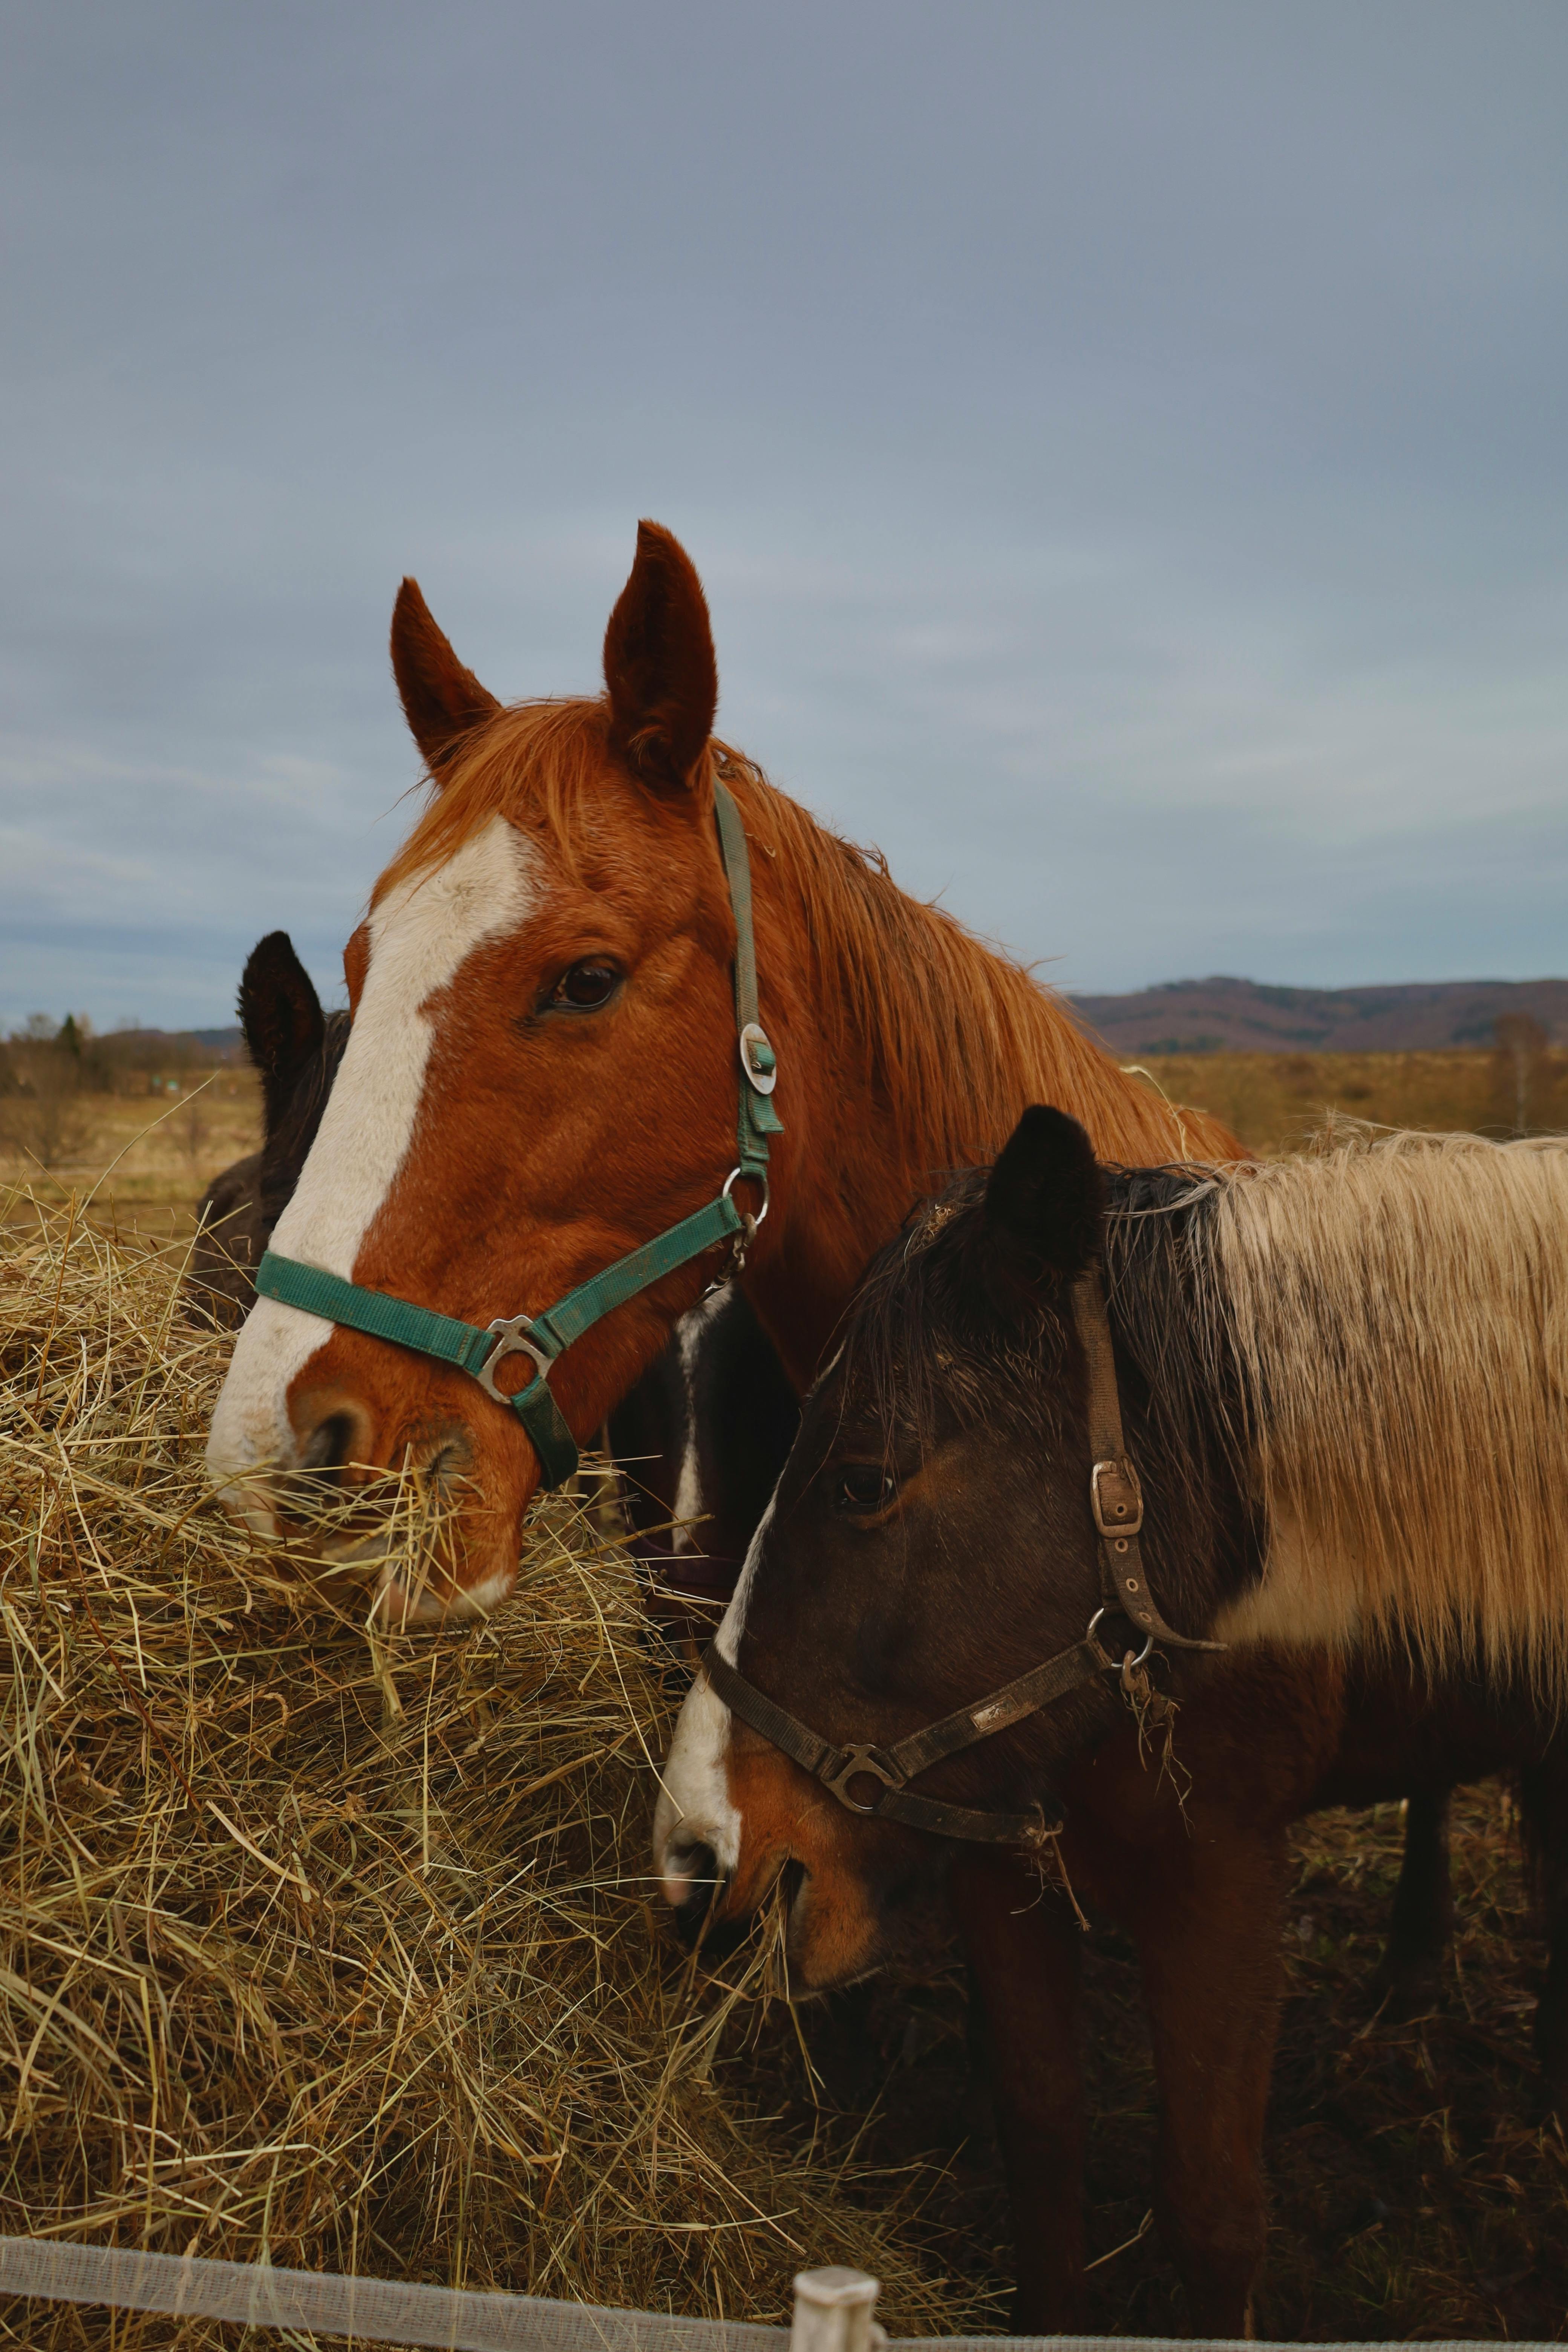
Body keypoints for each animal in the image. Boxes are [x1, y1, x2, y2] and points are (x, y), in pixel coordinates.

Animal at [658, 1115, 1568, 2333]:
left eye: (862, 1481)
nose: (692, 1848)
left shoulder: (1223, 1880)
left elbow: (1212, 2216)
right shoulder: (999, 1851)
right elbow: (1043, 2147)